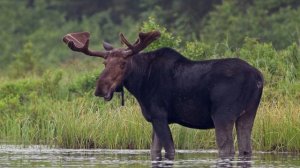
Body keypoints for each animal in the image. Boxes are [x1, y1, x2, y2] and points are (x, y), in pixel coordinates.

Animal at [62, 30, 262, 161]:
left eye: (123, 63)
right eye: (104, 63)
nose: (101, 88)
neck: (140, 83)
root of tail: (259, 78)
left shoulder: (160, 115)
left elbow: (170, 150)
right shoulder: (154, 119)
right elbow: (154, 151)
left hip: (222, 115)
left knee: (226, 149)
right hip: (248, 114)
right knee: (246, 148)